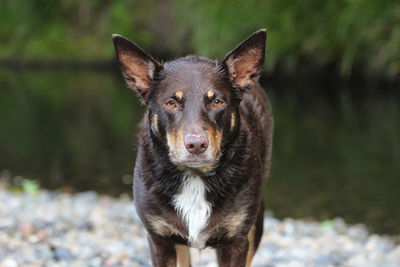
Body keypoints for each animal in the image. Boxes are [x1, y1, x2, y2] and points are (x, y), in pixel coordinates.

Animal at [112, 29, 274, 267]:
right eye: (171, 103)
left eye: (217, 102)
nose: (196, 144)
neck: (195, 177)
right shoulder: (160, 239)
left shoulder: (237, 240)